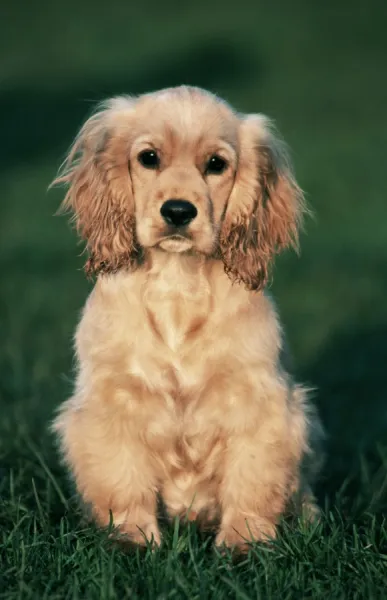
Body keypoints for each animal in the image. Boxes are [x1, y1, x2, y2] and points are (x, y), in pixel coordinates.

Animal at [52, 86, 324, 552]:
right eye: (148, 157)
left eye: (216, 164)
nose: (178, 212)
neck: (178, 284)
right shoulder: (113, 403)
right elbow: (122, 482)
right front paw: (132, 540)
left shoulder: (260, 405)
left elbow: (252, 479)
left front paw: (244, 542)